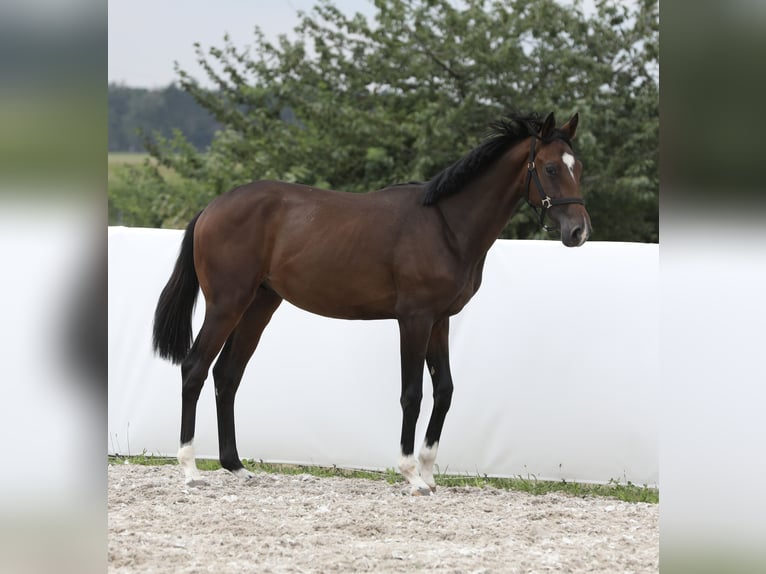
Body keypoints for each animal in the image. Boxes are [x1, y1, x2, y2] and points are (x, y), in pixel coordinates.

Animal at [152, 111, 592, 496]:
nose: (578, 231)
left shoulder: (440, 321)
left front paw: (429, 473)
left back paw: (237, 467)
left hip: (259, 306)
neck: (446, 225)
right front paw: (411, 476)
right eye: (550, 168)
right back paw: (190, 470)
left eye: (579, 167)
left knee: (227, 375)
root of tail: (211, 208)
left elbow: (445, 390)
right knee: (194, 369)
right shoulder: (414, 320)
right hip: (227, 305)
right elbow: (412, 394)